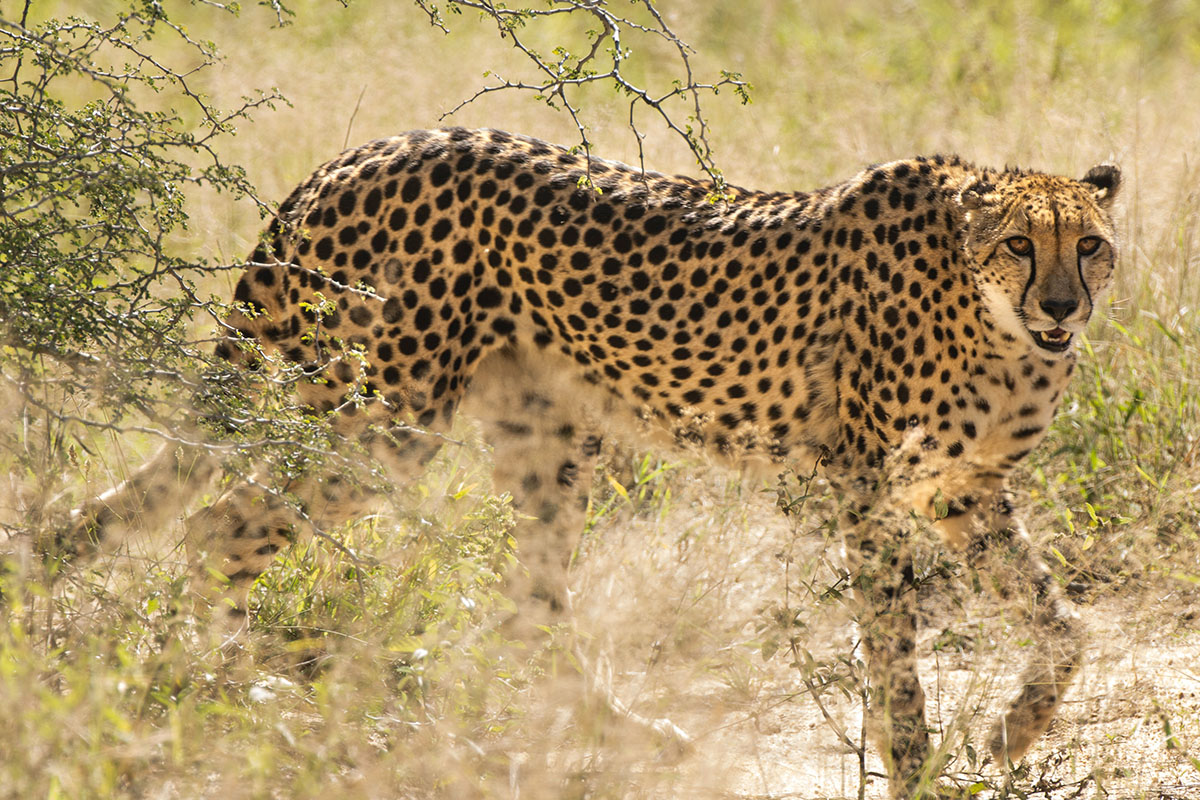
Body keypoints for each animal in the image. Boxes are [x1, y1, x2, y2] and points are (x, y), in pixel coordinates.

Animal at [64, 127, 1120, 797]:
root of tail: (359, 154)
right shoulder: (863, 484)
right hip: (385, 420)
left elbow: (1061, 623)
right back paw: (240, 688)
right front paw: (918, 768)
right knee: (219, 526)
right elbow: (894, 652)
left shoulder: (959, 490)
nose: (1063, 306)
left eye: (1092, 247)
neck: (995, 322)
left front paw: (1015, 731)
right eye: (1019, 244)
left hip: (539, 436)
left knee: (530, 606)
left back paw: (620, 735)